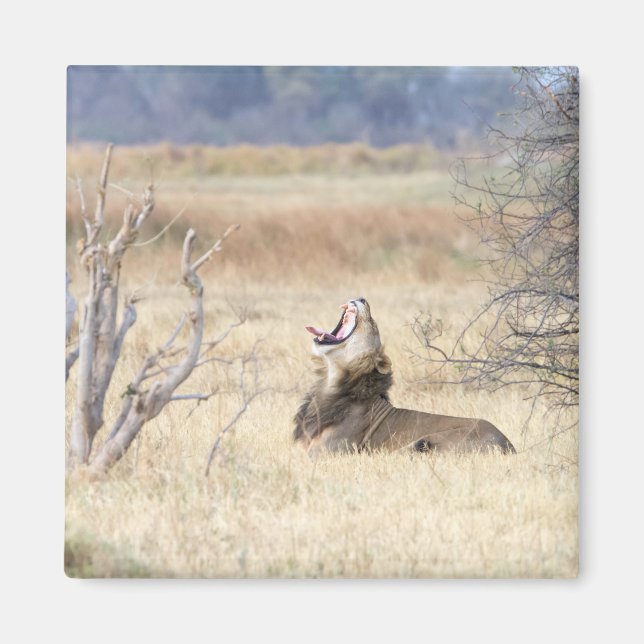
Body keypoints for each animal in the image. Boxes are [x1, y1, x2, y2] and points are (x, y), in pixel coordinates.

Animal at [294, 297, 516, 458]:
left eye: (372, 323)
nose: (362, 298)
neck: (330, 383)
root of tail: (508, 445)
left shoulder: (325, 453)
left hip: (423, 441)